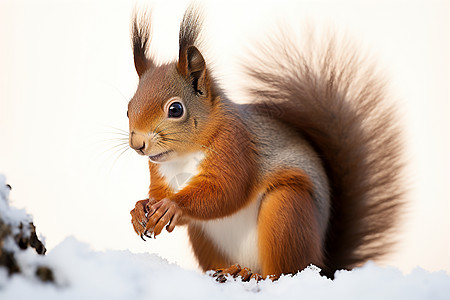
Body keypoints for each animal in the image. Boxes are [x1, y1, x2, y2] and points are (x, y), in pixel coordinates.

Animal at [126, 5, 404, 280]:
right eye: (128, 108)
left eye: (175, 109)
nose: (138, 144)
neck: (183, 156)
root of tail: (322, 265)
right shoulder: (160, 172)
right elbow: (160, 195)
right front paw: (140, 209)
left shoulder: (236, 146)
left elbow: (226, 191)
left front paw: (172, 206)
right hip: (204, 237)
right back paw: (229, 270)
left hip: (286, 212)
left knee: (284, 270)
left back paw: (253, 274)